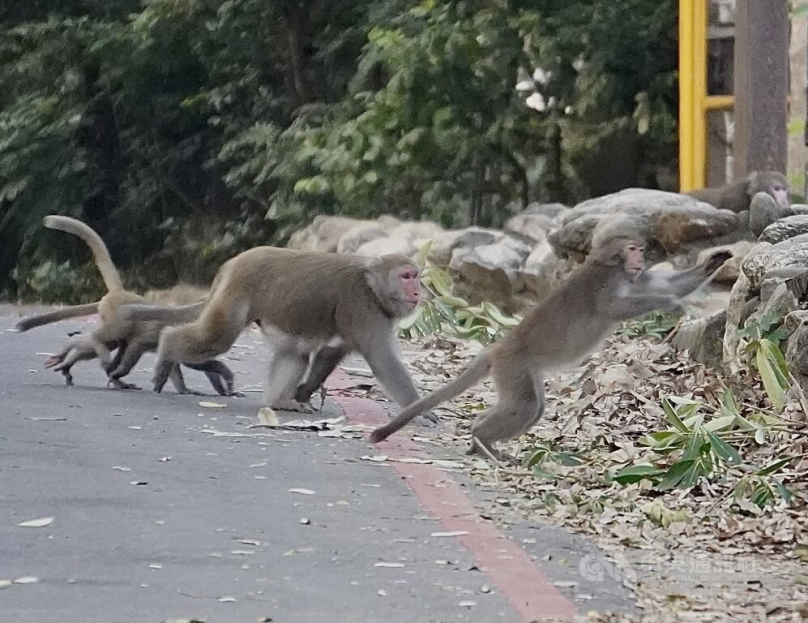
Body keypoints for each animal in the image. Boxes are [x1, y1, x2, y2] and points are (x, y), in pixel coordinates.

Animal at [370, 221, 732, 464]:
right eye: (632, 248)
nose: (640, 258)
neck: (611, 264)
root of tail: (497, 347)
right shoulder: (605, 282)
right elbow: (613, 309)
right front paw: (670, 302)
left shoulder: (634, 278)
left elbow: (665, 282)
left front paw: (714, 262)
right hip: (513, 365)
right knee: (528, 404)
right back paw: (482, 437)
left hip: (520, 370)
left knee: (532, 406)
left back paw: (479, 440)